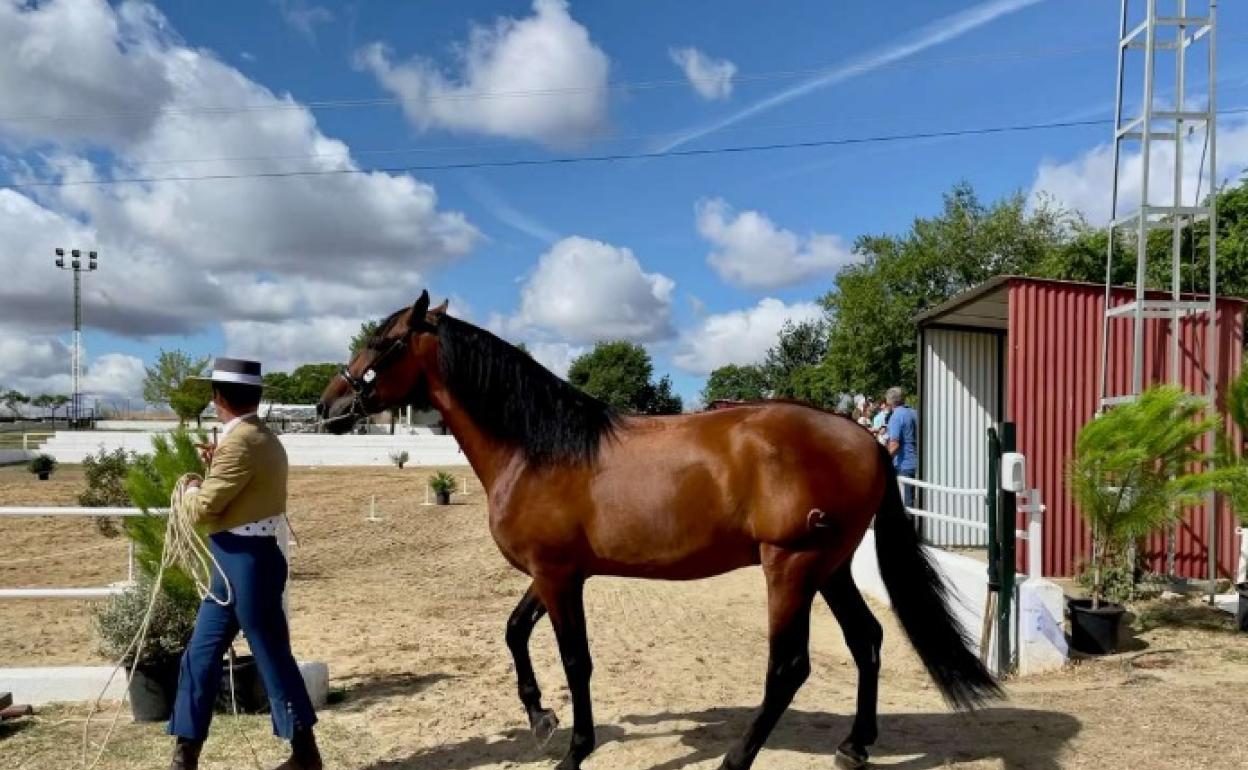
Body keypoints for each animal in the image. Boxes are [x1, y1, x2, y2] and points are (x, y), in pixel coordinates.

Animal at [316, 290, 998, 763]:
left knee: (789, 667)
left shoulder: (558, 577)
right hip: (830, 567)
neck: (538, 449)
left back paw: (736, 759)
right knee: (868, 641)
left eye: (382, 342)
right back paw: (855, 747)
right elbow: (513, 631)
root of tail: (865, 438)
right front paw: (540, 720)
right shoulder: (555, 572)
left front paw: (575, 750)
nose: (329, 405)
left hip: (791, 566)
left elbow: (576, 660)